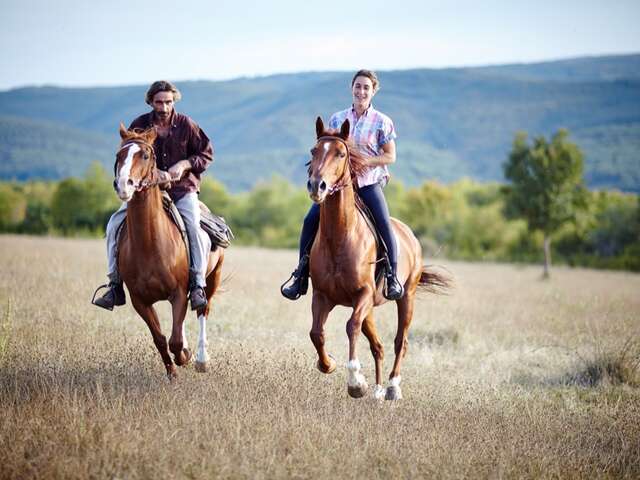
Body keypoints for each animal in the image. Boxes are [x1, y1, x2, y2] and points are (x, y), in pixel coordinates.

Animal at [114, 124, 224, 378]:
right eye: (119, 155)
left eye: (145, 155)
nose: (124, 184)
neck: (149, 245)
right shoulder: (140, 301)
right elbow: (161, 338)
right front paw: (172, 371)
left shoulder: (178, 292)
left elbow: (174, 340)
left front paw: (185, 356)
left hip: (212, 278)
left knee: (203, 310)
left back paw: (201, 359)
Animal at [306, 117, 450, 402]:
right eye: (314, 151)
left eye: (340, 154)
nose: (317, 186)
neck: (340, 236)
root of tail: (410, 235)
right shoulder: (322, 295)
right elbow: (316, 333)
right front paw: (329, 364)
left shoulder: (362, 295)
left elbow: (350, 327)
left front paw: (355, 382)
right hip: (370, 308)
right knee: (378, 346)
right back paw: (377, 390)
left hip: (406, 298)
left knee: (399, 342)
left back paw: (392, 387)